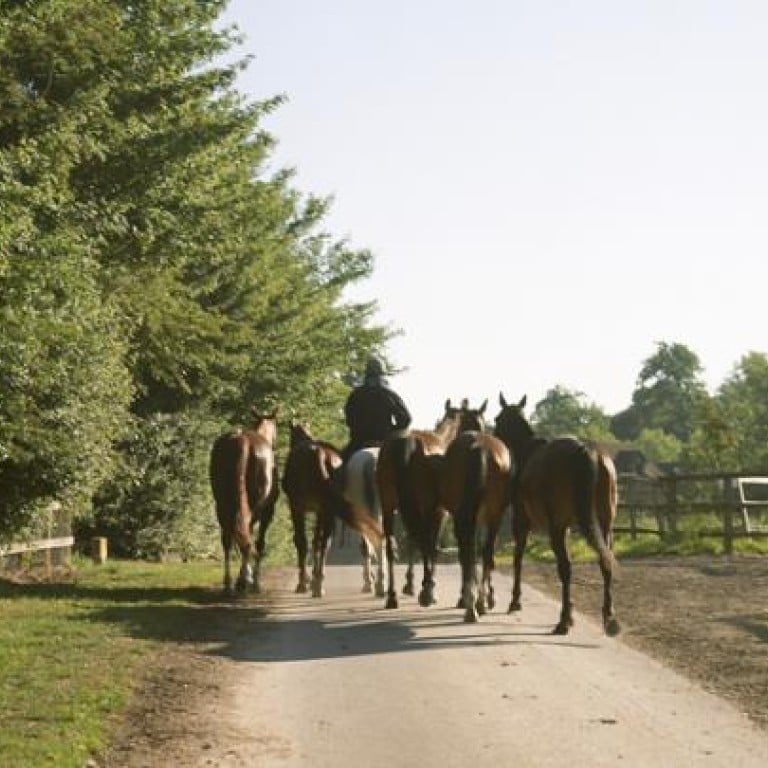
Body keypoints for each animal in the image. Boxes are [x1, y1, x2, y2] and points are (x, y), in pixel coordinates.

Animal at [209, 405, 280, 594]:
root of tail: (242, 442)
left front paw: (245, 576)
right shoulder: (267, 511)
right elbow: (259, 543)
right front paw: (251, 578)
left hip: (222, 505)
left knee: (228, 539)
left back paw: (228, 583)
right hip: (255, 507)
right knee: (247, 541)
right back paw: (248, 583)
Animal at [377, 399, 486, 609]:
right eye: (479, 423)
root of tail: (406, 443)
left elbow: (414, 542)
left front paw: (411, 585)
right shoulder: (439, 511)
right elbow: (433, 546)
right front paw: (427, 587)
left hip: (389, 506)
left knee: (392, 546)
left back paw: (392, 595)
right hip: (424, 508)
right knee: (425, 543)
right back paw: (426, 592)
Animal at [440, 399, 512, 622]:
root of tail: (480, 448)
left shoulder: (460, 517)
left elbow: (464, 554)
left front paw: (464, 598)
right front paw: (487, 597)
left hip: (470, 516)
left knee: (470, 552)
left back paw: (472, 605)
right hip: (495, 514)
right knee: (486, 551)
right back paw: (479, 602)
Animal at [493, 393, 620, 636]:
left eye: (496, 419)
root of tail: (587, 450)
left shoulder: (522, 522)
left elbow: (518, 557)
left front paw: (515, 601)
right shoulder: (566, 527)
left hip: (557, 526)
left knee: (565, 568)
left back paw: (563, 620)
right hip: (604, 524)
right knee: (605, 561)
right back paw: (607, 616)